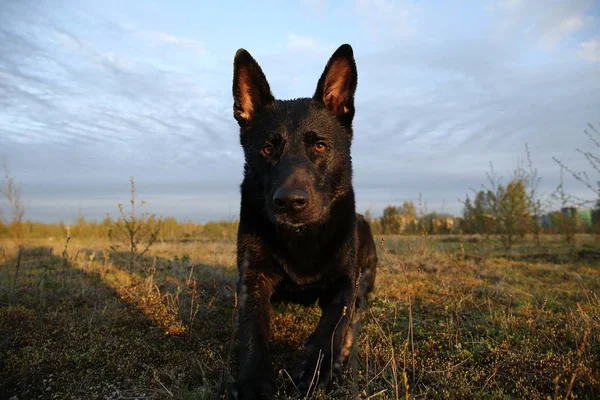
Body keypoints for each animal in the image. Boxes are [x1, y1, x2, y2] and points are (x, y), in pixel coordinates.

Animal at [230, 44, 376, 400]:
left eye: (320, 146)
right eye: (268, 148)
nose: (290, 203)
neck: (301, 238)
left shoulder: (345, 280)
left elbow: (335, 320)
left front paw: (317, 367)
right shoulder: (252, 277)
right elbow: (252, 329)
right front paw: (254, 382)